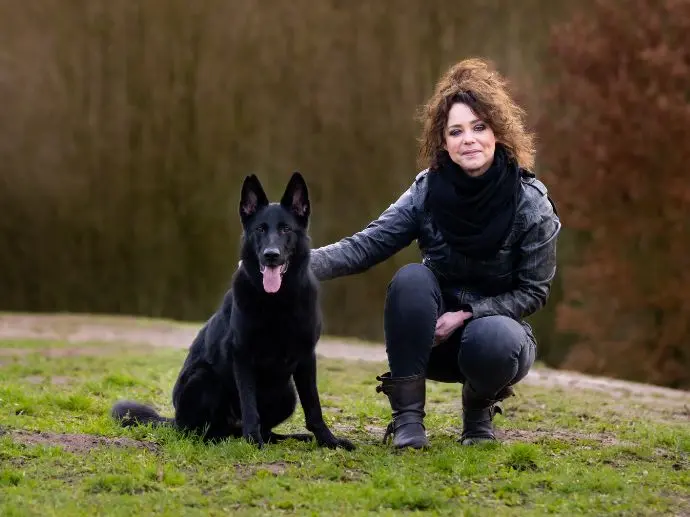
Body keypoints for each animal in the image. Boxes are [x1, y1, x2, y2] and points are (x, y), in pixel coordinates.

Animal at [111, 172, 354, 448]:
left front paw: (328, 440)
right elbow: (250, 406)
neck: (277, 301)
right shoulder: (243, 356)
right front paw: (253, 441)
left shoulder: (305, 357)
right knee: (200, 431)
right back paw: (224, 439)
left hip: (287, 393)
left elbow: (314, 406)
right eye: (260, 229)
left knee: (265, 430)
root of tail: (174, 420)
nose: (271, 255)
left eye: (286, 229)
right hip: (203, 379)